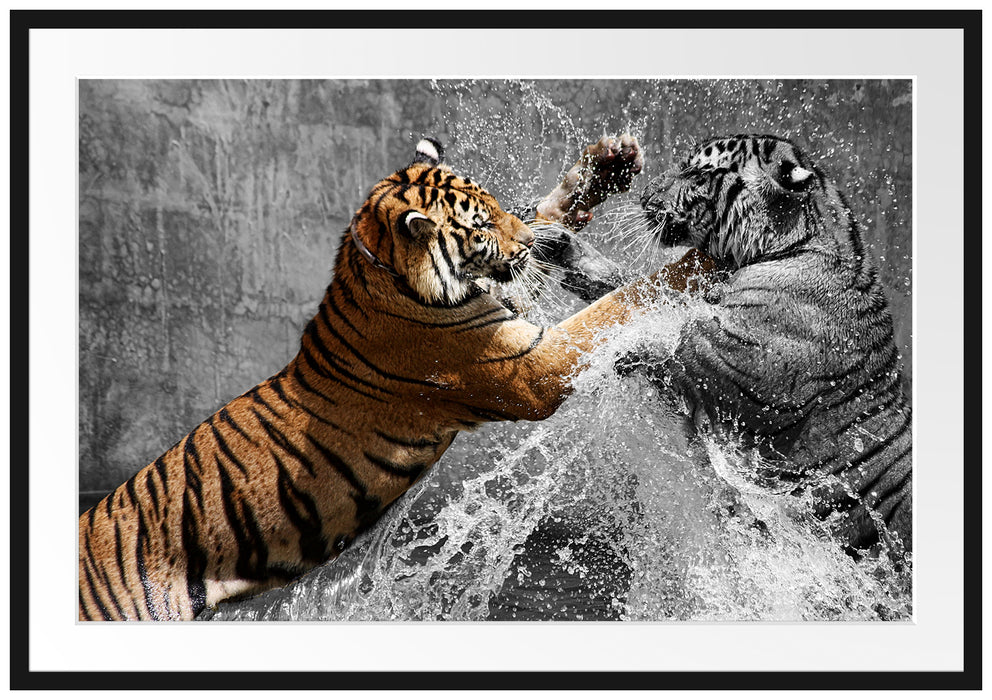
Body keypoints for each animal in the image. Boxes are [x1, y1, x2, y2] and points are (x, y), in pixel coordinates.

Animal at [78, 135, 685, 621]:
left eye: (495, 205)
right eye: (482, 225)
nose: (527, 245)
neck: (380, 270)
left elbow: (545, 215)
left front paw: (607, 165)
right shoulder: (528, 366)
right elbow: (614, 306)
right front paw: (687, 273)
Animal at [540, 134, 911, 556]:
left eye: (699, 172)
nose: (645, 195)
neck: (788, 247)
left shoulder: (732, 359)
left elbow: (665, 333)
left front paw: (610, 355)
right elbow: (637, 295)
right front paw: (563, 247)